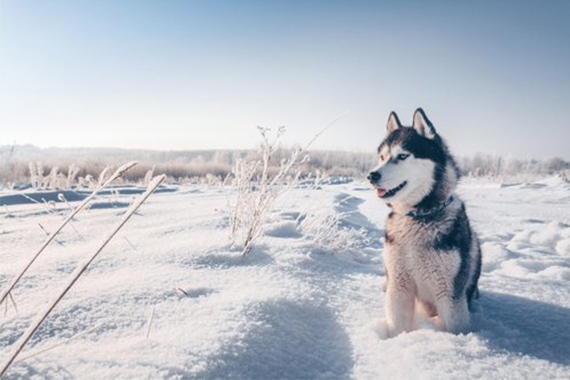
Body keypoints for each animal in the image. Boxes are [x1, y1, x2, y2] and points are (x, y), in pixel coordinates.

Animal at [368, 108, 480, 336]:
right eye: (382, 157)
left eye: (402, 156)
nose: (372, 175)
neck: (419, 216)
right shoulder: (398, 285)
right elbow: (397, 325)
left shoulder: (449, 293)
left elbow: (455, 328)